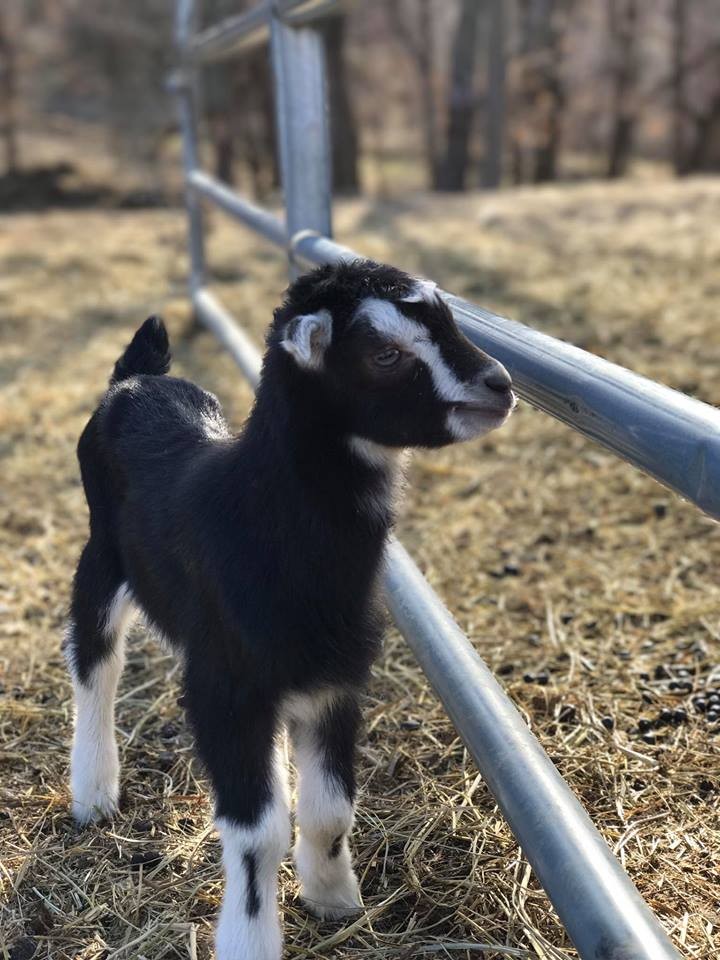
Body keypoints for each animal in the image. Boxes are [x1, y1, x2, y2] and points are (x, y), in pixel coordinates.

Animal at [63, 259, 515, 959]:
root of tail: (136, 379)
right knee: (95, 665)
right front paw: (250, 938)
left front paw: (333, 898)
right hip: (102, 556)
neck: (260, 514)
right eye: (385, 353)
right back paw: (93, 794)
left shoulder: (334, 679)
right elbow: (256, 834)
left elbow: (330, 809)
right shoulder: (226, 687)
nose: (500, 385)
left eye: (448, 319)